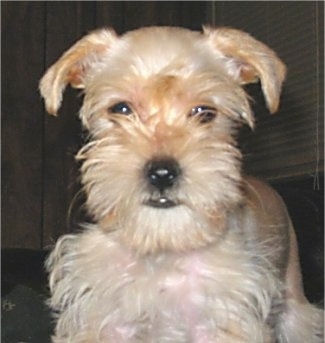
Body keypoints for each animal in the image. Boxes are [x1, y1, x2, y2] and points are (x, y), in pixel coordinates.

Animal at [38, 25, 322, 342]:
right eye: (120, 108)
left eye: (205, 112)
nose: (162, 173)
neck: (163, 249)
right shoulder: (105, 319)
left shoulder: (220, 321)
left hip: (294, 301)